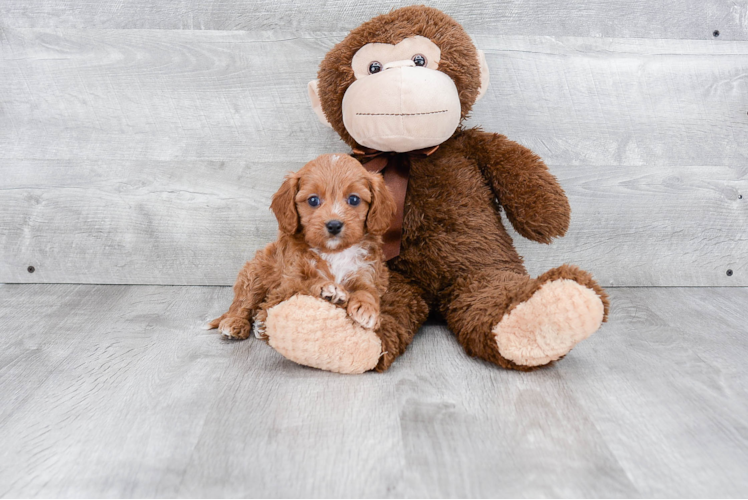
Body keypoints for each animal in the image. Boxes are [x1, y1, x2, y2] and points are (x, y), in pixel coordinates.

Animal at [203, 152, 392, 340]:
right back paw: (236, 323)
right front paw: (327, 288)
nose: (334, 225)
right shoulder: (288, 282)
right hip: (254, 274)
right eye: (313, 200)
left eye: (353, 199)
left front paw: (366, 309)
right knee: (243, 303)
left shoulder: (368, 273)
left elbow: (367, 290)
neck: (333, 252)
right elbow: (304, 284)